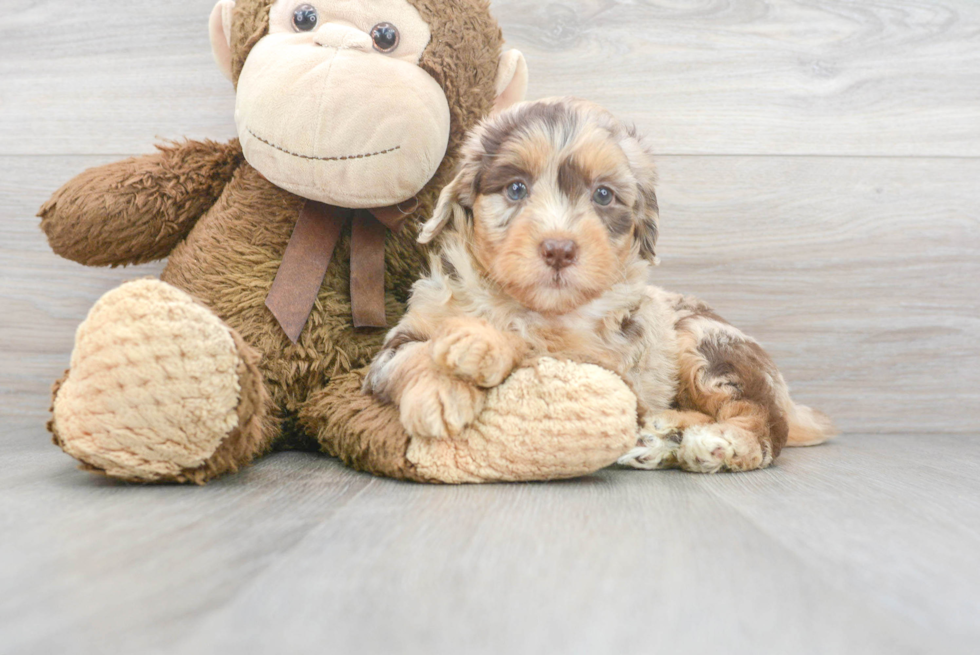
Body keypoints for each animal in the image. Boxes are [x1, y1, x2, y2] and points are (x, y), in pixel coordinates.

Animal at [362, 98, 836, 472]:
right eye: (516, 188)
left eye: (603, 195)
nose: (558, 249)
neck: (524, 303)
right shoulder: (405, 333)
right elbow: (412, 355)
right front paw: (439, 392)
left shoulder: (602, 366)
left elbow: (534, 345)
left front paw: (481, 344)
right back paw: (662, 437)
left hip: (705, 343)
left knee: (764, 421)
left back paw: (720, 444)